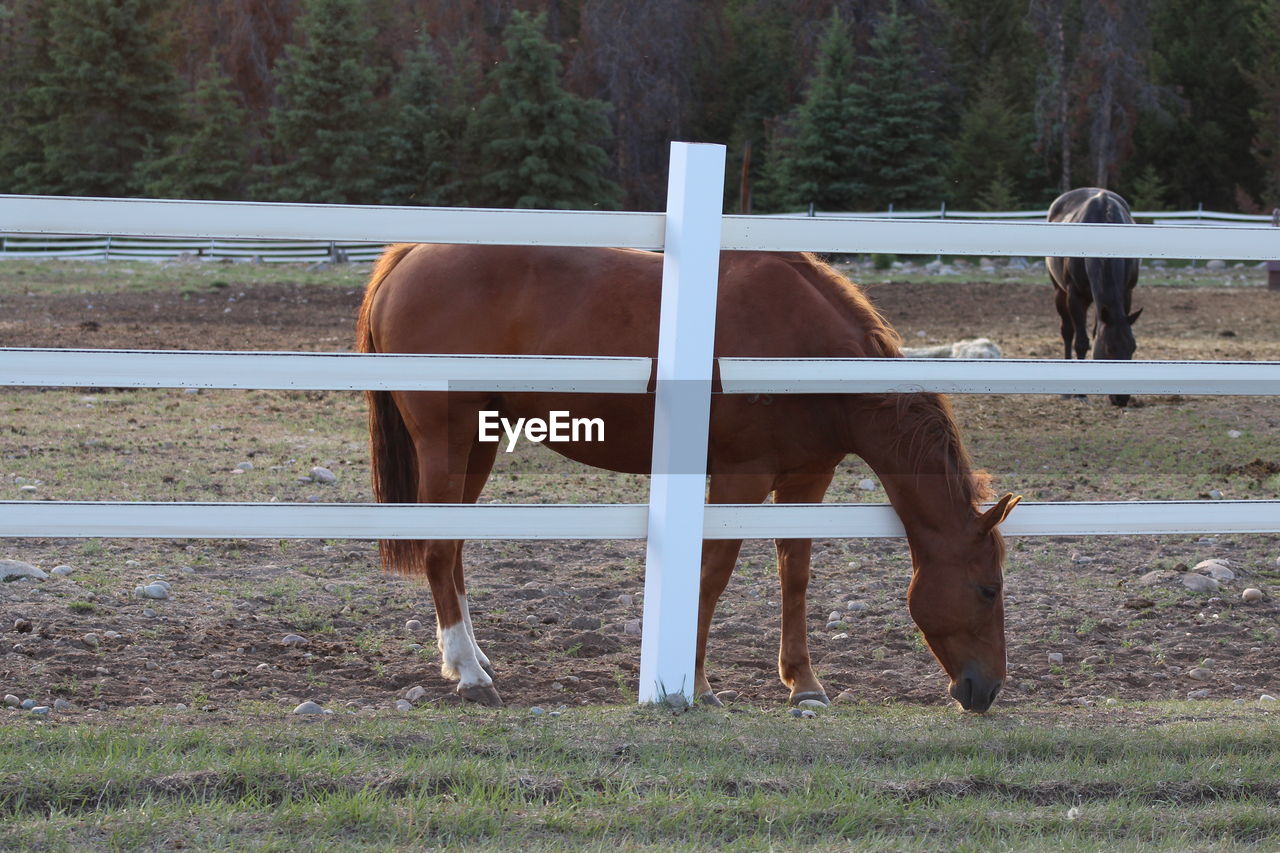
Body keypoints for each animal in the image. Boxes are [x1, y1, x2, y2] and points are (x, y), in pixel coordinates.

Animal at [358, 244, 1018, 712]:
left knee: (454, 550)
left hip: (480, 444)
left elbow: (795, 574)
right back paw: (470, 676)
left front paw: (803, 682)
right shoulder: (740, 477)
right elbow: (713, 573)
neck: (806, 351)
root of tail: (409, 256)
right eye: (989, 589)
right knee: (438, 551)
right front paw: (695, 683)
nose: (986, 690)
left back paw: (472, 658)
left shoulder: (807, 478)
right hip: (448, 441)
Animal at [1044, 186, 1146, 404]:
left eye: (1132, 348)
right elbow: (1081, 342)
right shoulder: (1075, 296)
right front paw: (1080, 393)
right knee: (1067, 331)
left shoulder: (1126, 293)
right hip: (1059, 292)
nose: (1121, 398)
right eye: (1109, 349)